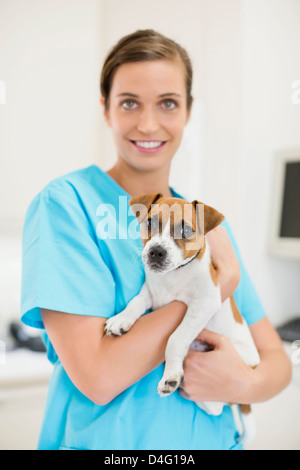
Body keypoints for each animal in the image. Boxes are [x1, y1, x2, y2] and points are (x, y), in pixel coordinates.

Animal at [105, 194, 260, 444]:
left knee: (219, 405)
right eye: (150, 223)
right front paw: (121, 320)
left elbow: (175, 338)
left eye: (185, 230)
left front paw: (171, 375)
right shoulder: (149, 294)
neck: (172, 276)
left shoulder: (204, 304)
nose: (156, 251)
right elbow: (135, 303)